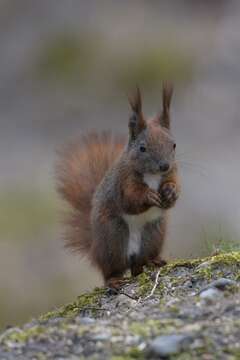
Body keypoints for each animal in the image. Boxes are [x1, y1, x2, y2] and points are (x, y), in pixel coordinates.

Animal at [56, 84, 180, 290]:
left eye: (174, 145)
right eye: (142, 148)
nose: (164, 166)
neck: (152, 176)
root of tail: (94, 248)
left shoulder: (173, 173)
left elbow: (174, 189)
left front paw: (171, 192)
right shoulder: (123, 182)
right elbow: (130, 201)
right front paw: (149, 196)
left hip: (153, 235)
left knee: (139, 265)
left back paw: (153, 261)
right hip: (113, 239)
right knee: (111, 271)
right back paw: (114, 280)